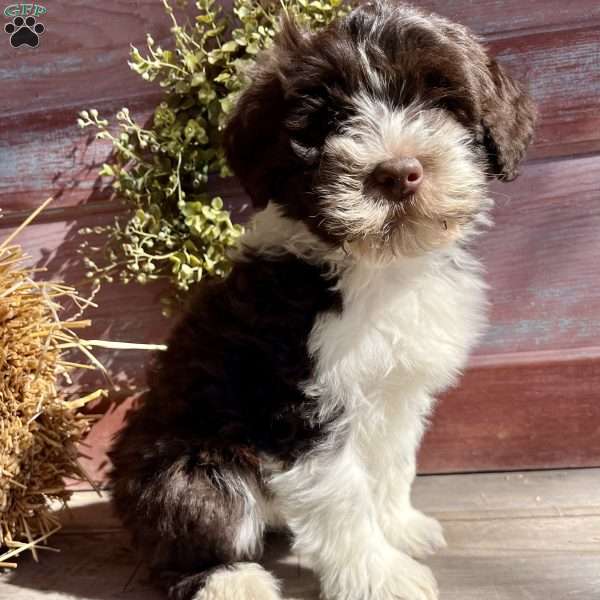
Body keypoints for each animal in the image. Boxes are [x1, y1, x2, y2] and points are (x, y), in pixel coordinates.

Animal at [108, 2, 536, 596]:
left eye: (442, 101)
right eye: (326, 121)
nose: (397, 173)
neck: (379, 267)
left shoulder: (397, 392)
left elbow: (392, 465)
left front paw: (400, 528)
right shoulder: (301, 405)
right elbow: (344, 496)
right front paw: (380, 577)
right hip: (191, 469)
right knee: (189, 530)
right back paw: (229, 580)